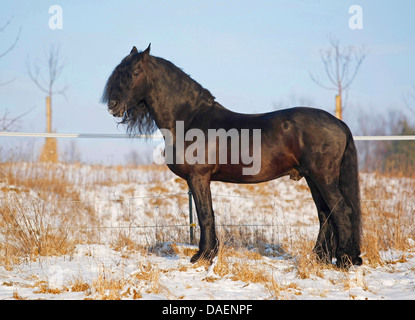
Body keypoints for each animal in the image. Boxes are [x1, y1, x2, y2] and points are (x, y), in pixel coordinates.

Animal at [102, 43, 362, 268]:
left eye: (135, 72)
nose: (112, 105)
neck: (190, 118)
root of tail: (339, 123)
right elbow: (205, 214)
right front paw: (208, 254)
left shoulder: (199, 177)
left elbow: (205, 215)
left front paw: (203, 256)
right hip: (312, 178)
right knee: (325, 214)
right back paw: (320, 258)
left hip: (323, 177)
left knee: (342, 212)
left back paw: (346, 260)